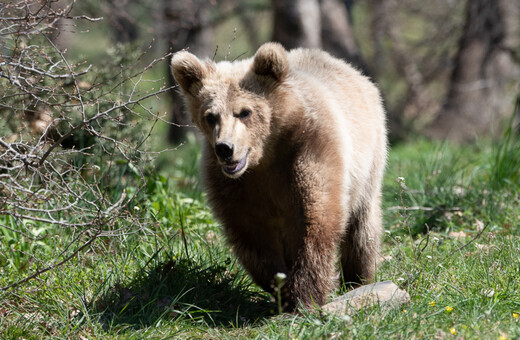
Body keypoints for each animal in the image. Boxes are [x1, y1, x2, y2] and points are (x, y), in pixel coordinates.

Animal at [171, 41, 386, 310]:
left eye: (244, 112)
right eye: (210, 116)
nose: (225, 148)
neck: (266, 155)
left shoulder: (309, 149)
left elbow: (316, 217)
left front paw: (305, 296)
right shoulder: (236, 185)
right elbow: (252, 235)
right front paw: (281, 287)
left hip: (369, 159)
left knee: (362, 228)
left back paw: (358, 278)